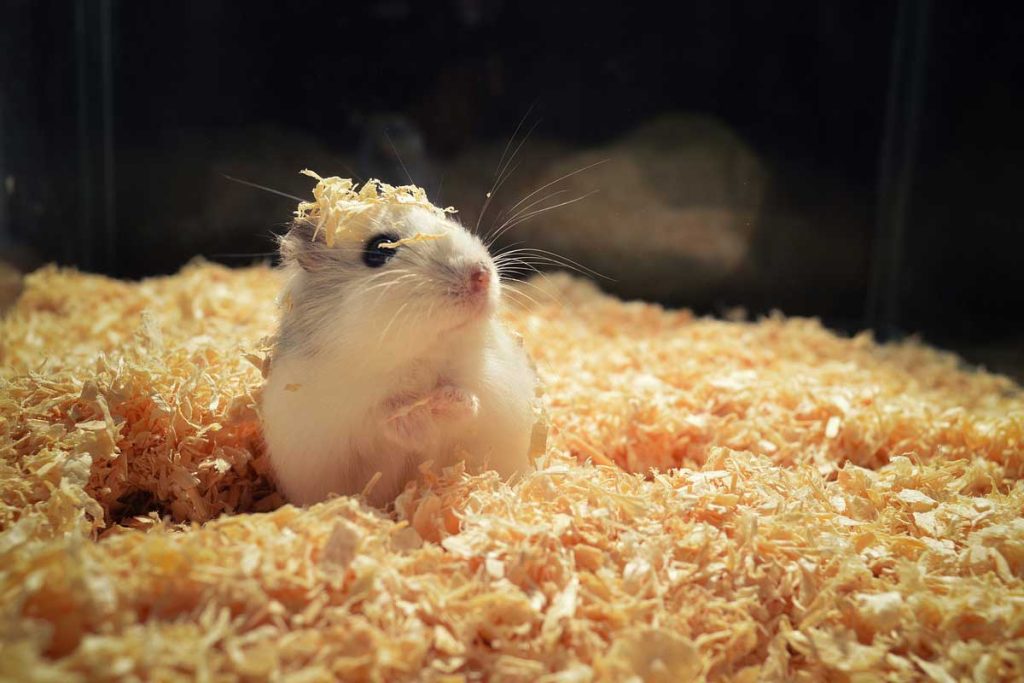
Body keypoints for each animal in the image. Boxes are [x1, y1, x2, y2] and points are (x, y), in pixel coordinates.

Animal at [261, 188, 538, 508]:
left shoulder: (491, 382)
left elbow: (468, 398)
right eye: (379, 250)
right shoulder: (344, 408)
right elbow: (384, 414)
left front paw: (442, 403)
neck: (418, 355)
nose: (481, 275)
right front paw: (417, 421)